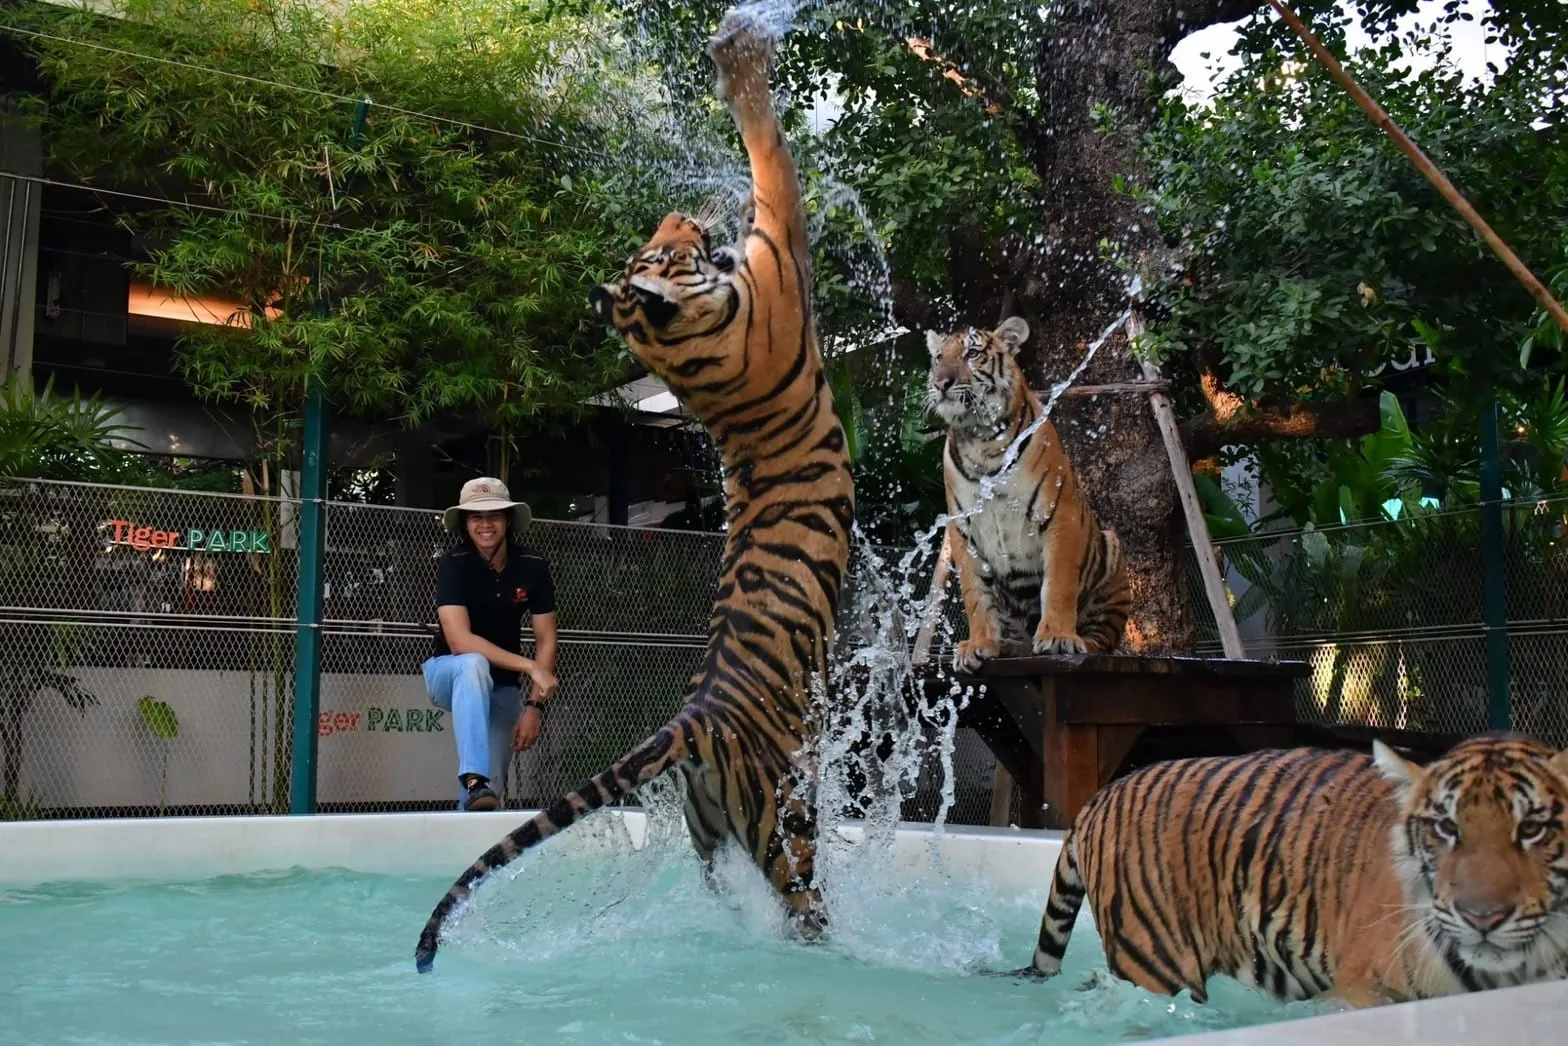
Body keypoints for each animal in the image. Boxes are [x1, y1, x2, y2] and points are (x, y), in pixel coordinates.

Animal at [412, 11, 853, 974]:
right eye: (667, 246)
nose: (685, 214)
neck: (691, 352)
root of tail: (691, 720)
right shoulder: (782, 260)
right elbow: (770, 156)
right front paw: (744, 65)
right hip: (788, 819)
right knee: (808, 902)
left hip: (711, 832)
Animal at [926, 317, 1131, 671]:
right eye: (939, 357)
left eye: (972, 353)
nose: (941, 382)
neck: (983, 441)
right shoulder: (963, 531)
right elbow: (975, 595)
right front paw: (978, 644)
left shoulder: (1058, 514)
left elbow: (1058, 584)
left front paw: (1057, 636)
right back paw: (1004, 644)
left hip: (1111, 551)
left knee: (1101, 642)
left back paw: (1077, 643)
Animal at [1027, 735, 1568, 1007]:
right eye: (1447, 828)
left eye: (1533, 828)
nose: (1482, 917)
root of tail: (1101, 796)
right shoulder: (1361, 989)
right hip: (1157, 962)